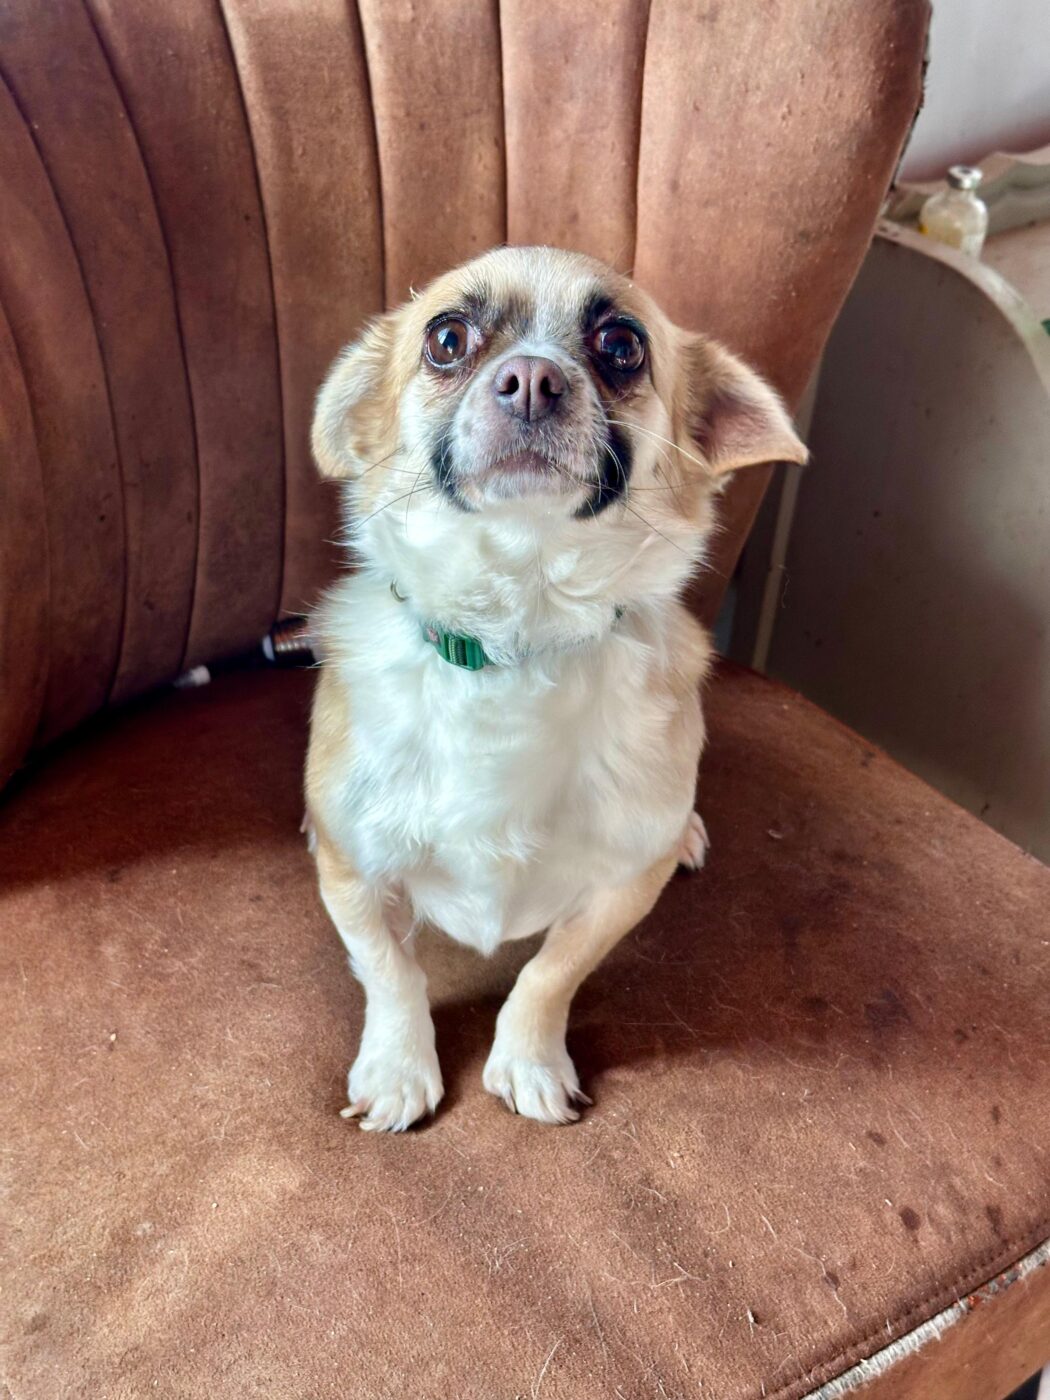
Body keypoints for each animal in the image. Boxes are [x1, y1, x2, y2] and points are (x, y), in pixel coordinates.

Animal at [305, 246, 806, 1131]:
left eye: (622, 345)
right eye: (446, 338)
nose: (533, 378)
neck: (518, 636)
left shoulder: (623, 885)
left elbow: (551, 972)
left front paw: (528, 1062)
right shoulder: (351, 868)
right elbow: (392, 973)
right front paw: (399, 1069)